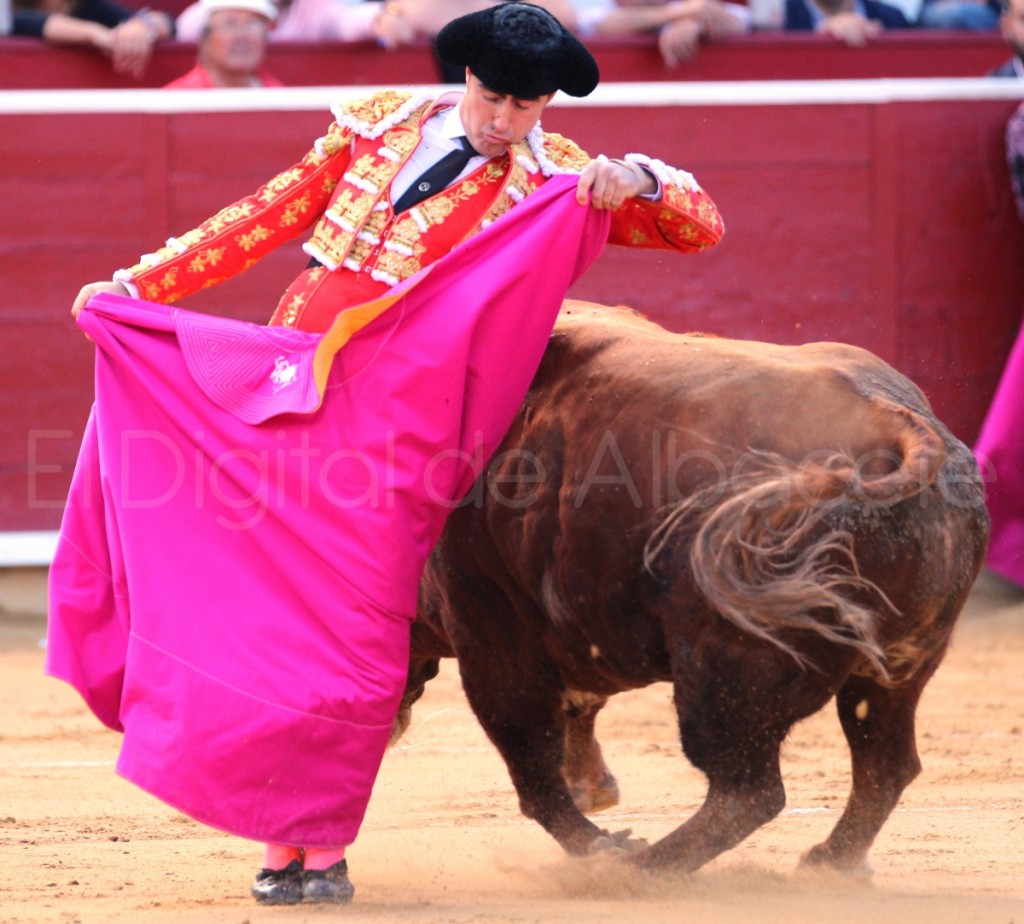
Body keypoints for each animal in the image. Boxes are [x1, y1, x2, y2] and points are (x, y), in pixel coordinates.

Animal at [395, 301, 987, 876]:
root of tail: (888, 419)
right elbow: (573, 716)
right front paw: (597, 796)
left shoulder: (488, 628)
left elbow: (531, 762)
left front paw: (599, 842)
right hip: (898, 661)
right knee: (885, 764)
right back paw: (830, 862)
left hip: (725, 666)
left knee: (749, 790)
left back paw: (636, 869)